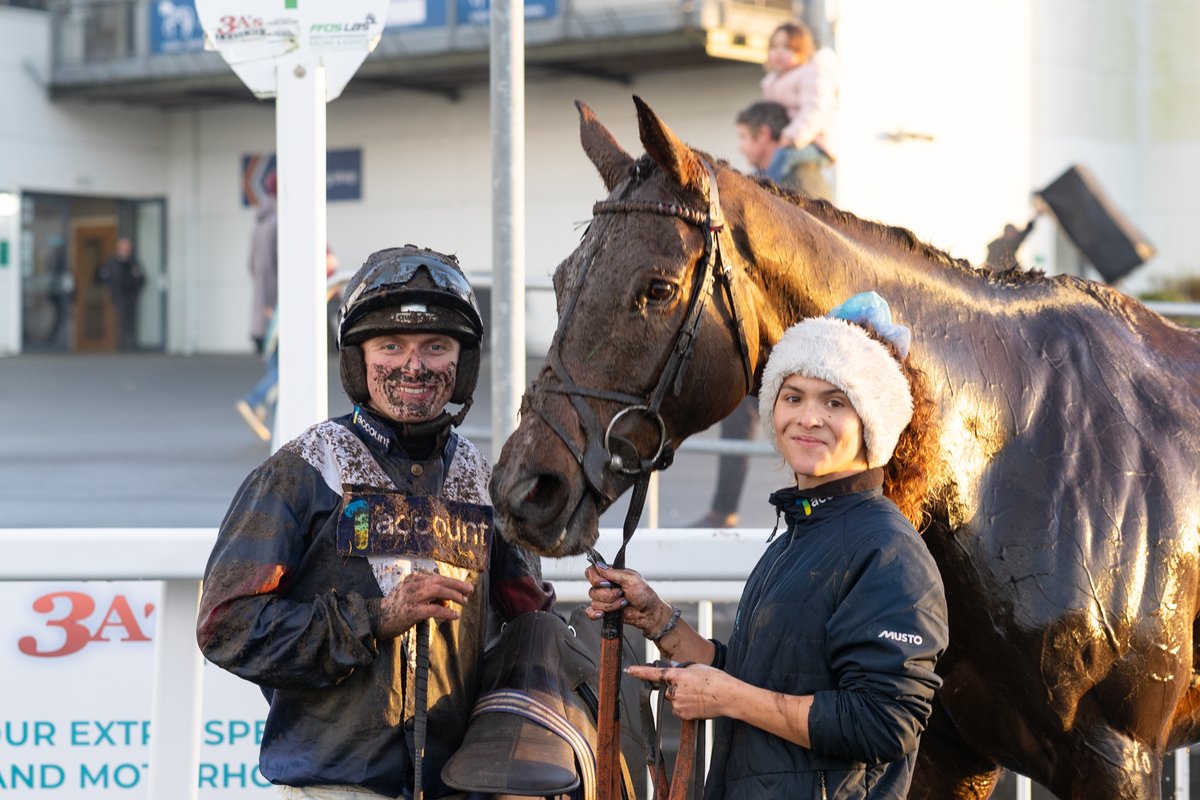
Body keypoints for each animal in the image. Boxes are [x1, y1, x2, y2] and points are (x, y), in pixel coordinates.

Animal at [484, 97, 1200, 796]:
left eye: (656, 288)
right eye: (559, 280)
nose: (524, 490)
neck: (1016, 462)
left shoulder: (1116, 757)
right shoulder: (948, 751)